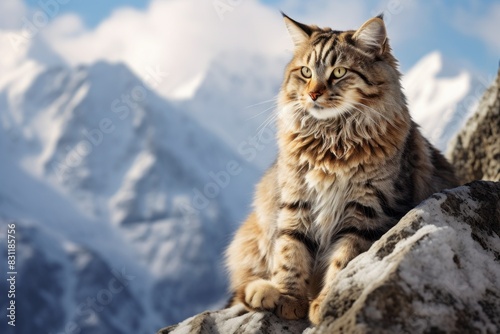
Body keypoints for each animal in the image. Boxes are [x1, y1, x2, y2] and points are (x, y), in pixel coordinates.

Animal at [225, 12, 458, 324]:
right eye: (306, 72)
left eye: (338, 72)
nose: (313, 94)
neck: (332, 140)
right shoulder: (297, 202)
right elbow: (291, 252)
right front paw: (289, 297)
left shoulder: (367, 209)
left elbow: (344, 259)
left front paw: (325, 302)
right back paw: (263, 291)